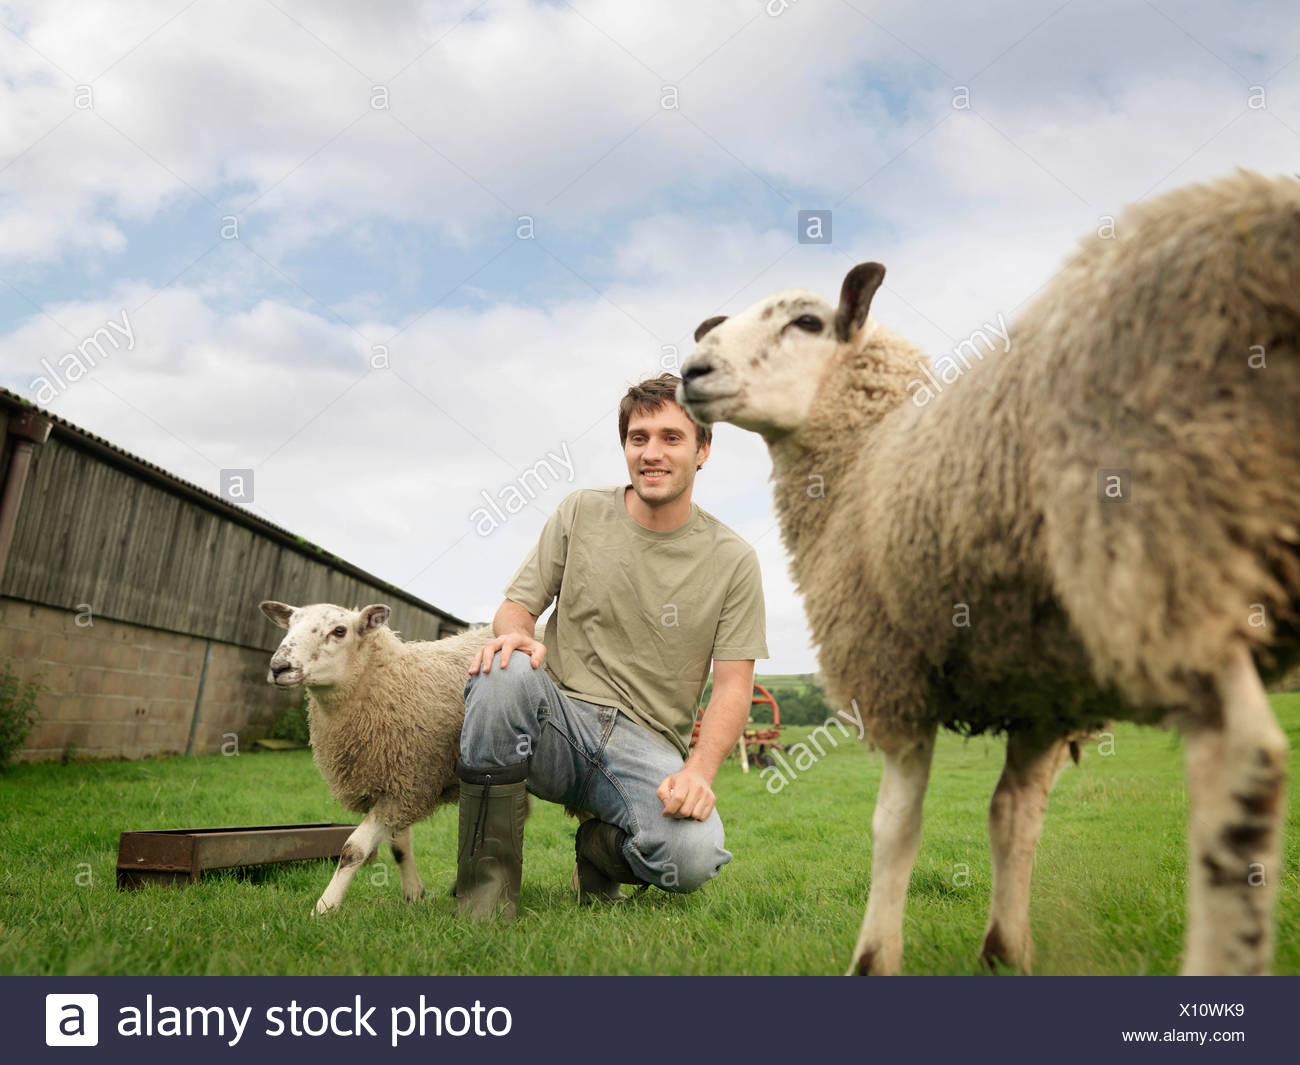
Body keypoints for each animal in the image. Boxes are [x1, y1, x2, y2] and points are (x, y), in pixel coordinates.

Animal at [259, 600, 495, 915]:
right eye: (290, 625)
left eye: (339, 630)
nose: (279, 667)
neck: (393, 680)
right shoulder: (394, 784)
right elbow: (399, 846)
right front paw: (413, 894)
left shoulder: (411, 783)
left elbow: (353, 849)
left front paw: (324, 908)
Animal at [678, 169, 1299, 976]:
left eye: (807, 323)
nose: (691, 370)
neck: (865, 458)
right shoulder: (1044, 685)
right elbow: (1014, 815)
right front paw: (1005, 951)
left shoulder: (893, 665)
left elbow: (895, 824)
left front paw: (873, 956)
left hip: (1162, 550)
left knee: (1243, 763)